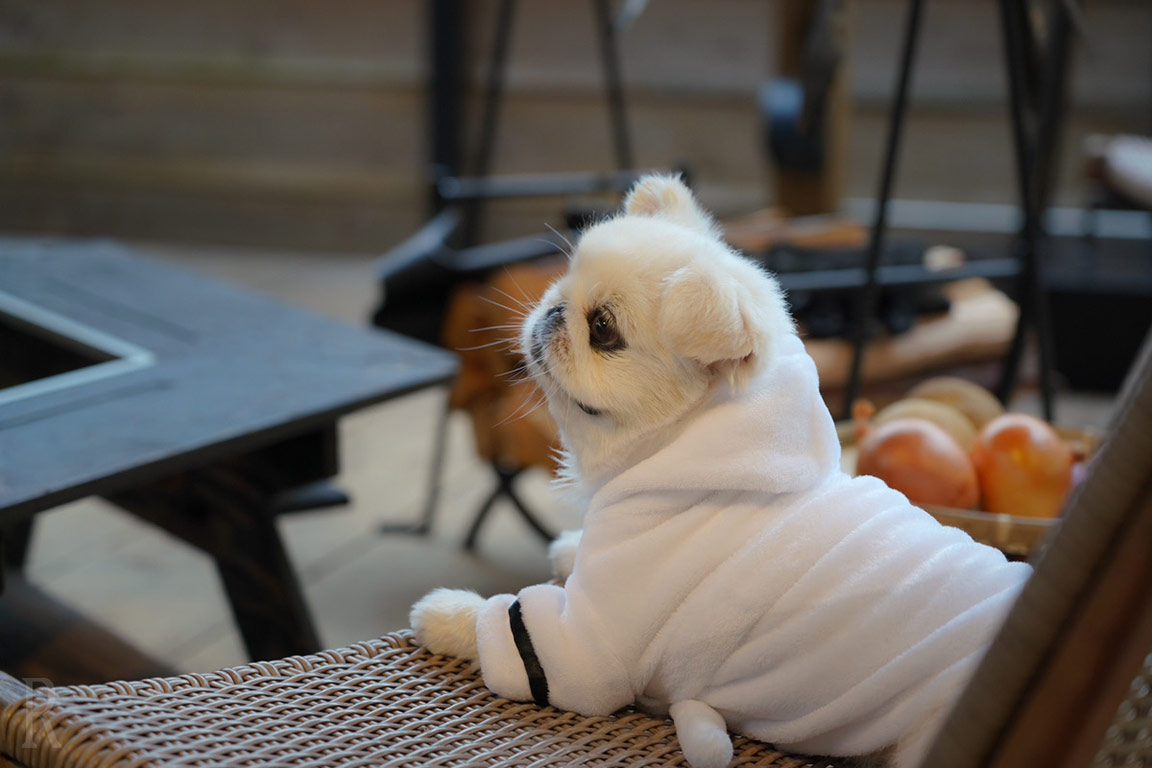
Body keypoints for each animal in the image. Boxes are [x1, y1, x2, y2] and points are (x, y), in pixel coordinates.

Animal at [410, 173, 1032, 768]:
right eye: (565, 279)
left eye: (603, 329)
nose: (554, 310)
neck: (682, 454)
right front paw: (567, 547)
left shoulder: (587, 648)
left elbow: (498, 623)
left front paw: (443, 613)